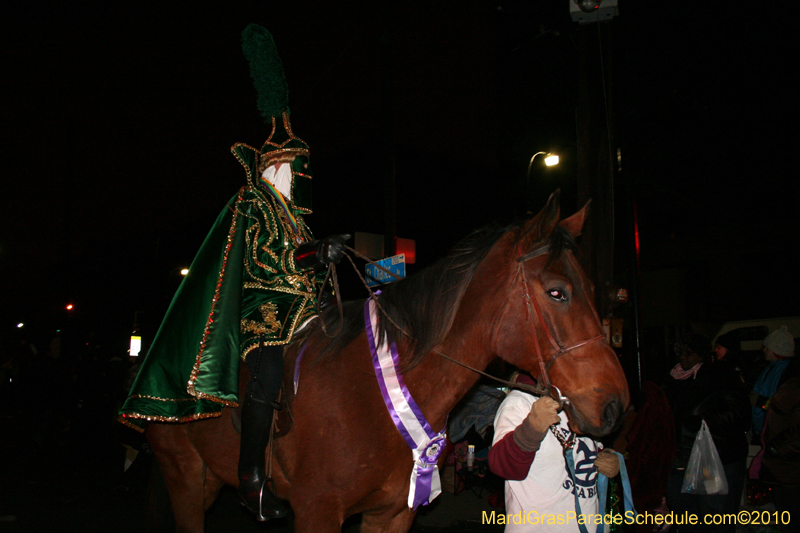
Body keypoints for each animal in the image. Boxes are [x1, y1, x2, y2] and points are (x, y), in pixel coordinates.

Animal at [145, 191, 632, 532]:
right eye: (556, 292)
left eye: (592, 289)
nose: (615, 406)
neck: (371, 396)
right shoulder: (317, 512)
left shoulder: (392, 514)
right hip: (184, 475)